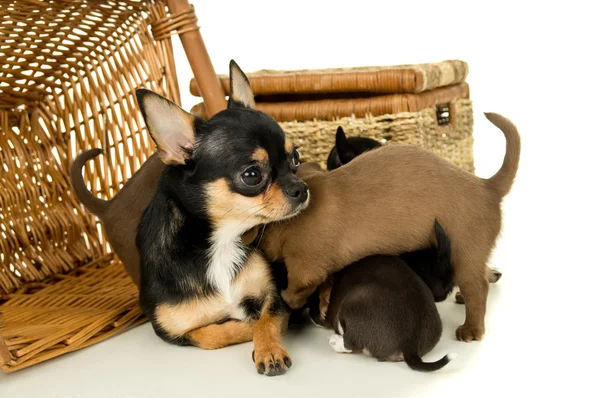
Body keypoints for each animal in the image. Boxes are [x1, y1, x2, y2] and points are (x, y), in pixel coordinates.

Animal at [258, 112, 520, 342]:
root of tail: (486, 186)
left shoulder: (306, 268)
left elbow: (295, 290)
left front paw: (289, 300)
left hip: (463, 256)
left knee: (478, 288)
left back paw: (471, 328)